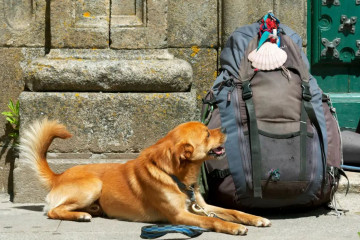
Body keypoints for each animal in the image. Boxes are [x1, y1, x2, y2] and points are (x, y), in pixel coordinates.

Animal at [18, 119, 268, 235]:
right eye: (207, 134)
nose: (225, 128)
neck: (176, 176)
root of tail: (58, 175)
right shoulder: (179, 216)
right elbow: (214, 220)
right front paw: (233, 227)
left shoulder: (202, 206)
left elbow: (233, 211)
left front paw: (255, 218)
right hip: (93, 185)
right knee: (52, 211)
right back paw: (80, 215)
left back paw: (91, 211)